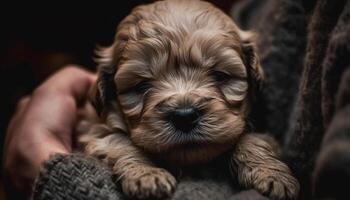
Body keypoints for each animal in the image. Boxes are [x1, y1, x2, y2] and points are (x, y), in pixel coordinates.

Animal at [78, 0, 300, 199]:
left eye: (220, 76)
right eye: (141, 86)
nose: (184, 116)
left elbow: (252, 139)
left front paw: (271, 175)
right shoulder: (95, 129)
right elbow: (119, 142)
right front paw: (147, 175)